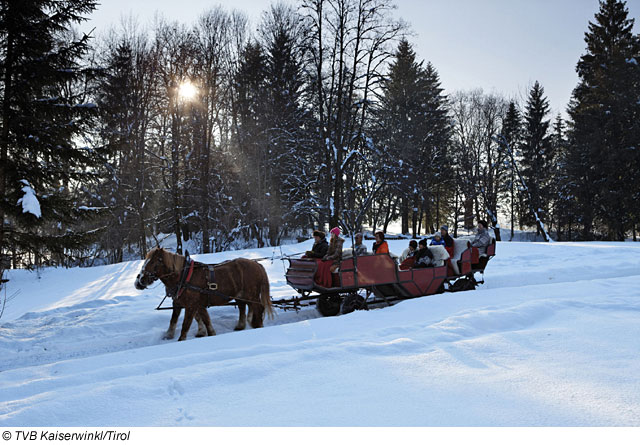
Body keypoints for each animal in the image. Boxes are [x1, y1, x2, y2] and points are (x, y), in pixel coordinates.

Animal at [135, 246, 272, 340]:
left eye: (153, 262)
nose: (140, 281)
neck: (184, 276)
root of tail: (257, 264)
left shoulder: (191, 306)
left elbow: (186, 325)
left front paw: (181, 340)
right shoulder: (188, 303)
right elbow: (200, 320)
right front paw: (209, 333)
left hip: (251, 294)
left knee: (258, 308)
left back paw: (258, 326)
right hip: (241, 295)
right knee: (243, 307)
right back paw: (242, 325)